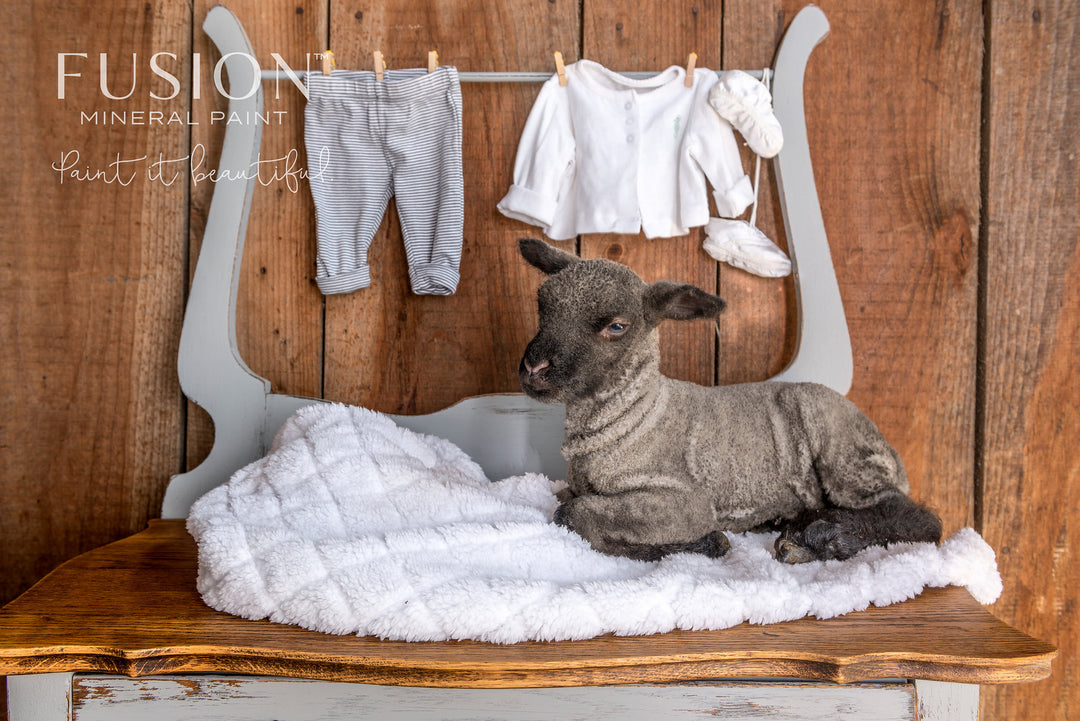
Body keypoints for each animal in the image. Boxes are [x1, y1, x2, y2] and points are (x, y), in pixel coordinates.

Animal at [517, 237, 942, 563]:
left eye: (617, 326)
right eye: (542, 304)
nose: (534, 367)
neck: (634, 417)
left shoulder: (684, 500)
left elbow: (573, 515)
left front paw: (703, 543)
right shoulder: (575, 486)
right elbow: (566, 502)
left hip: (843, 449)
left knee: (917, 517)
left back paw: (822, 539)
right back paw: (789, 523)